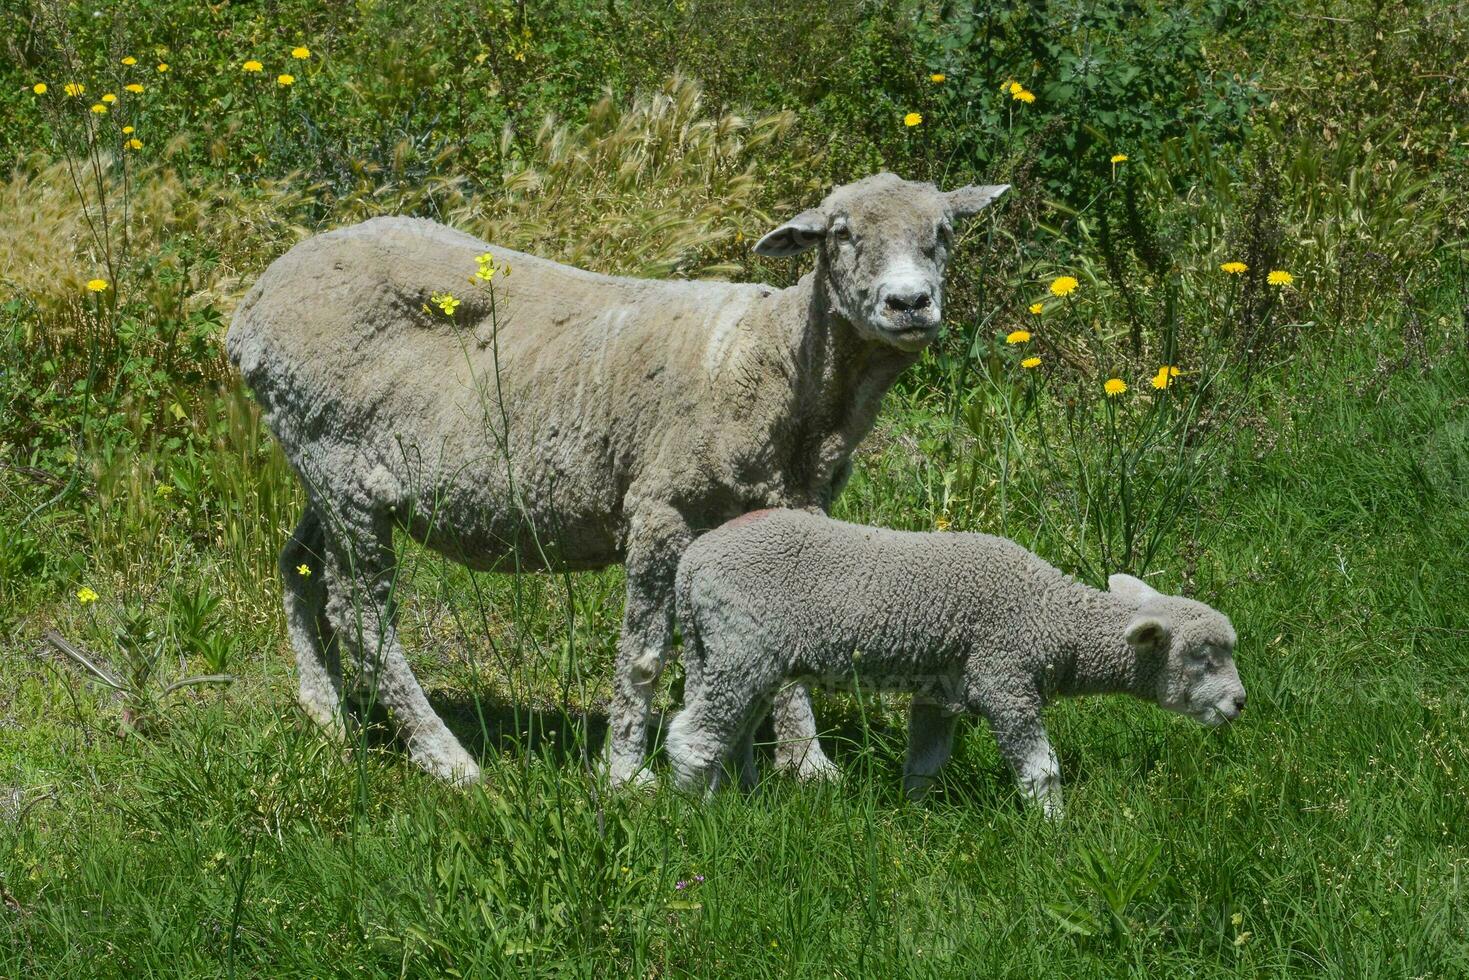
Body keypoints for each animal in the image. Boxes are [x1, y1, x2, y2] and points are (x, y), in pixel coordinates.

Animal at [226, 172, 1010, 787]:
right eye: (840, 234)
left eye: (943, 231)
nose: (909, 305)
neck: (776, 364)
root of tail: (252, 308)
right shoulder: (661, 508)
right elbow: (642, 655)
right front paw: (625, 772)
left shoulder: (786, 515)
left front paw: (804, 767)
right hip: (341, 468)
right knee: (361, 615)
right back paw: (448, 760)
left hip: (320, 462)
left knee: (297, 565)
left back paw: (325, 712)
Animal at [672, 511, 1245, 816]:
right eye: (1201, 657)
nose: (1240, 702)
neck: (1051, 616)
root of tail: (691, 563)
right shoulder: (1005, 678)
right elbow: (1041, 769)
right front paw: (1054, 827)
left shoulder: (940, 690)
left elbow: (925, 761)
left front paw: (915, 814)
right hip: (741, 645)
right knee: (693, 735)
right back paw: (694, 815)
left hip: (722, 652)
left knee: (732, 732)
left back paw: (740, 800)